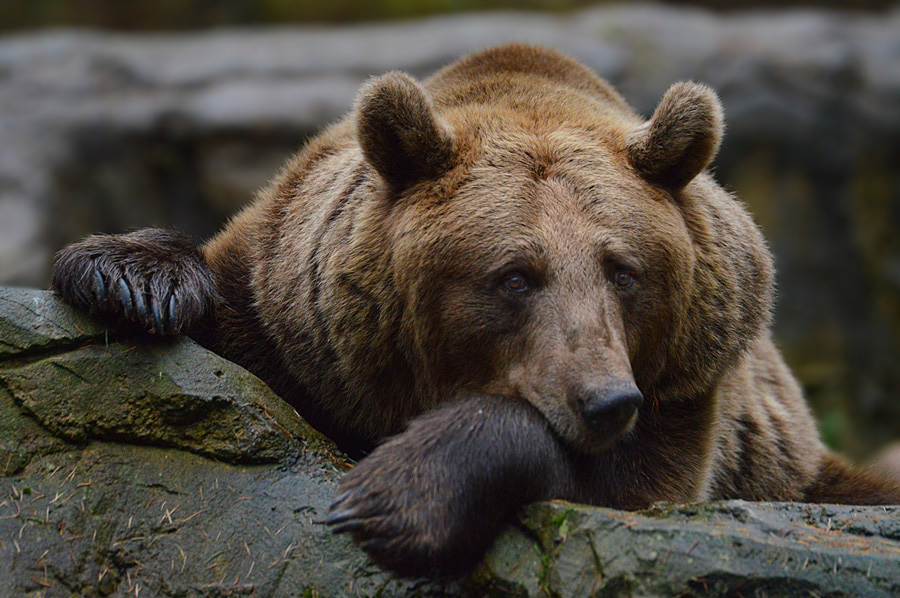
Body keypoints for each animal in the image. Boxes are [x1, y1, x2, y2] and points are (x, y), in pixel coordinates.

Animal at [52, 47, 896, 580]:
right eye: (515, 275)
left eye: (624, 270)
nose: (606, 399)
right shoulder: (296, 315)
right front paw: (129, 278)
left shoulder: (688, 384)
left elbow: (621, 482)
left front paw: (395, 496)